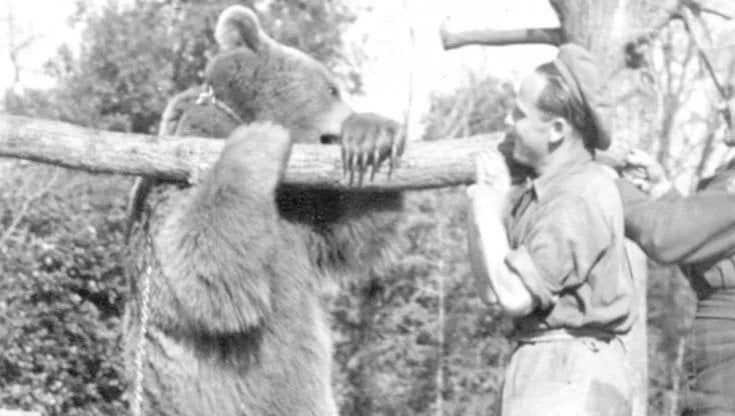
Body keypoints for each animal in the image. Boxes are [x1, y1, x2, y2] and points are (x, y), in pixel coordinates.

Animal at [124, 5, 405, 416]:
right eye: (331, 88)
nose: (341, 121)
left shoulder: (297, 215)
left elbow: (352, 233)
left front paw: (371, 134)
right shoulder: (180, 169)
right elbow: (198, 263)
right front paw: (260, 139)